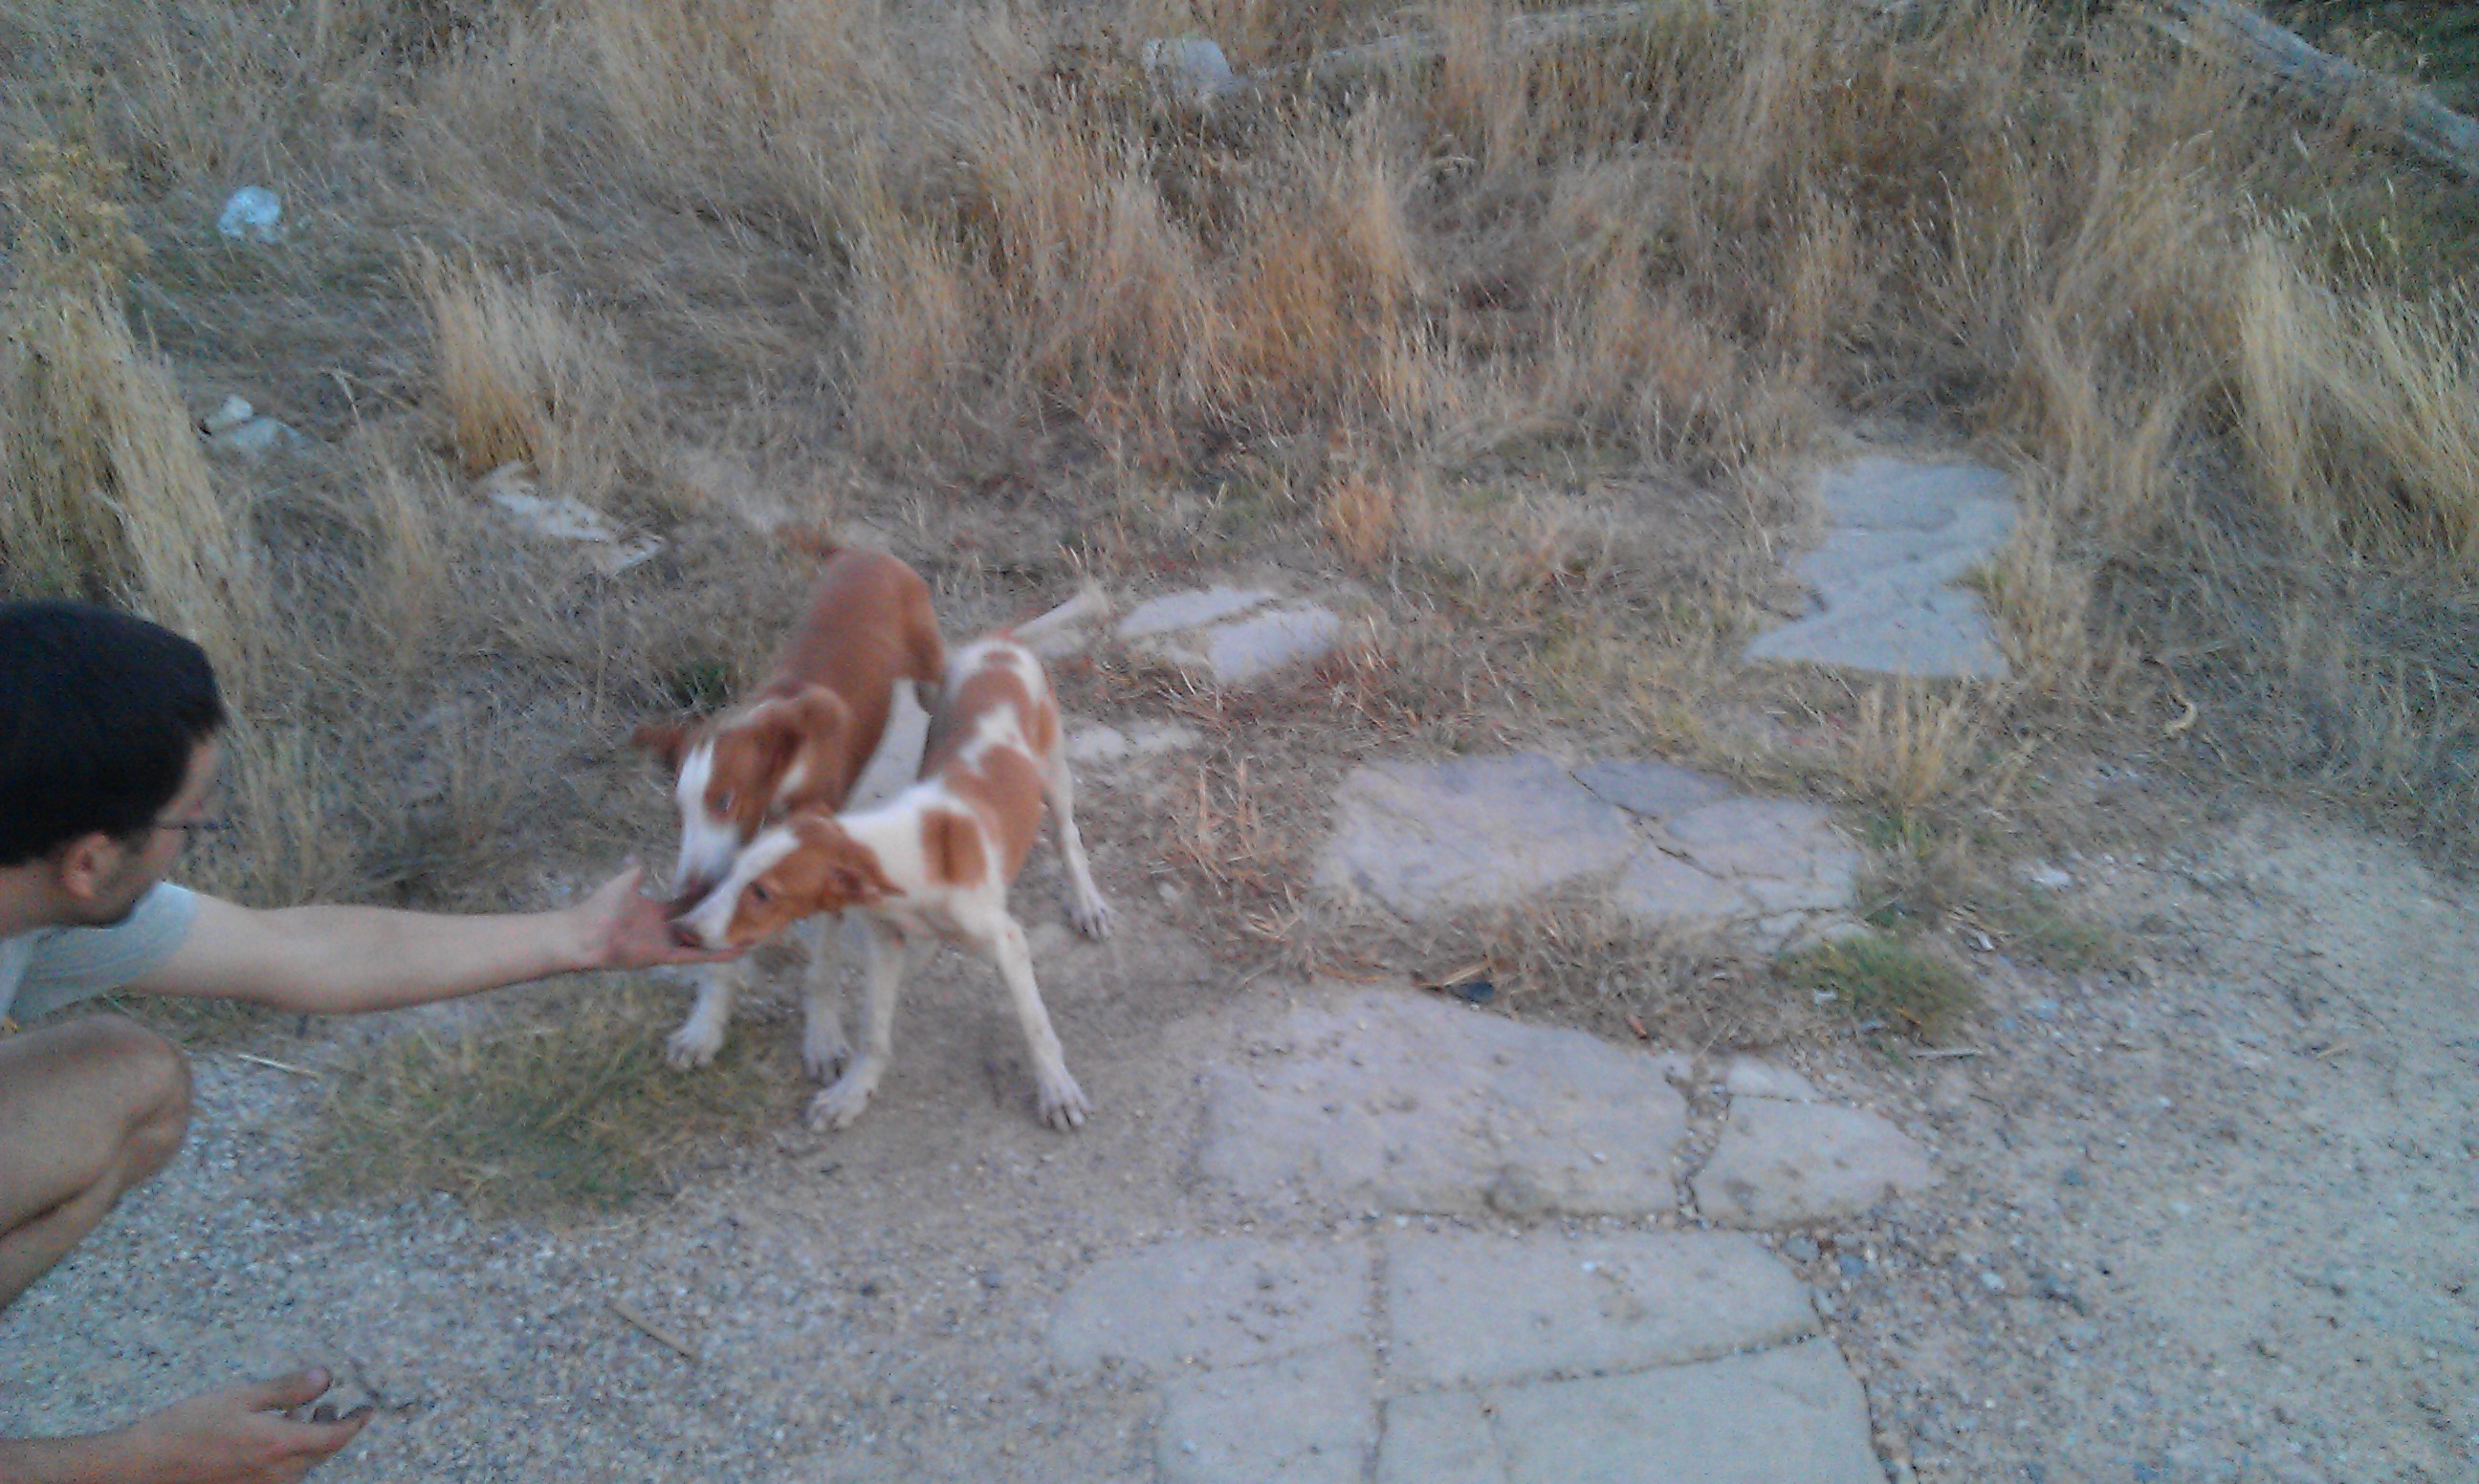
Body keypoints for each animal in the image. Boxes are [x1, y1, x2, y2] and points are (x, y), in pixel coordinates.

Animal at [632, 538, 943, 1077]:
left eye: (725, 800)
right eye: (679, 812)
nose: (687, 890)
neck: (786, 770)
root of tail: (870, 552)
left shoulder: (824, 870)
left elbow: (822, 969)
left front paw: (823, 1038)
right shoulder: (741, 868)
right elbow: (723, 954)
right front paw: (703, 1028)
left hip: (931, 678)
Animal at [670, 623, 1111, 1131]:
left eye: (764, 893)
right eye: (736, 871)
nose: (685, 929)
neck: (910, 849)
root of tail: (999, 642)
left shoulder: (1007, 943)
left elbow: (1036, 1025)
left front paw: (1057, 1091)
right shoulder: (885, 940)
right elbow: (873, 1032)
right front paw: (852, 1093)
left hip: (1054, 773)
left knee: (1068, 838)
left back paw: (1087, 904)